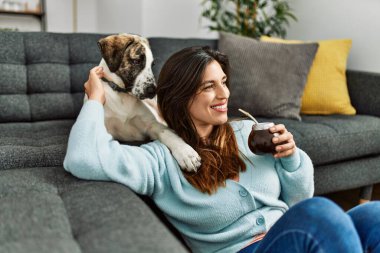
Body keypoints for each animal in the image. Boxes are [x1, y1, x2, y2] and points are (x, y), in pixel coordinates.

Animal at [84, 33, 200, 172]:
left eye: (152, 65)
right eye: (136, 61)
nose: (153, 90)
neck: (122, 95)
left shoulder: (153, 125)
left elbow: (168, 134)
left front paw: (186, 153)